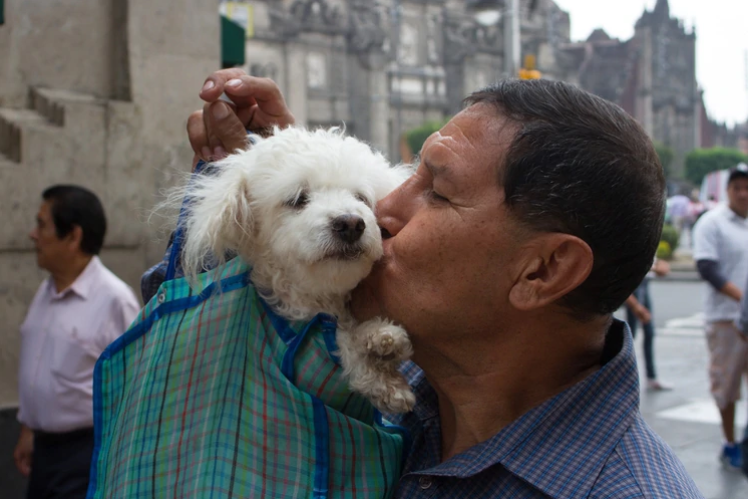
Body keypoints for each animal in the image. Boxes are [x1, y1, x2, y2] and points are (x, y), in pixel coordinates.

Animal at [179, 126, 418, 414]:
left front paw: (380, 345)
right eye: (297, 199)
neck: (320, 299)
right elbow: (340, 337)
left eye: (361, 198)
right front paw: (376, 355)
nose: (351, 224)